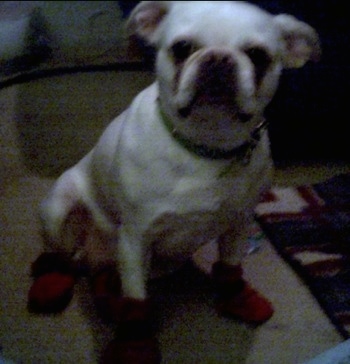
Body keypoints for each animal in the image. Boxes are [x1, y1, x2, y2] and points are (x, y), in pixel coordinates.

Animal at [31, 2, 322, 362]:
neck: (206, 147)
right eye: (182, 48)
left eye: (257, 55)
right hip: (57, 211)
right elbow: (137, 301)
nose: (219, 58)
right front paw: (135, 345)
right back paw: (51, 284)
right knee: (57, 256)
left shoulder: (237, 225)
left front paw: (238, 298)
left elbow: (230, 267)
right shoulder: (136, 238)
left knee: (105, 276)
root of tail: (89, 258)